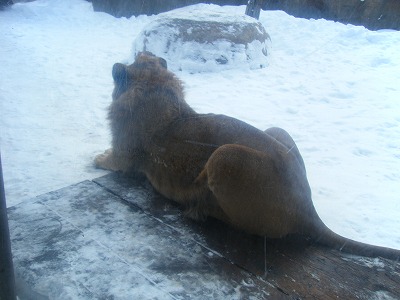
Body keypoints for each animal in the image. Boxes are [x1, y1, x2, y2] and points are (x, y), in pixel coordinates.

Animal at [95, 52, 398, 260]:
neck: (156, 87)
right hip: (277, 130)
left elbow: (109, 160)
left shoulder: (124, 155)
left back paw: (199, 207)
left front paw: (97, 159)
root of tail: (308, 208)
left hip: (224, 157)